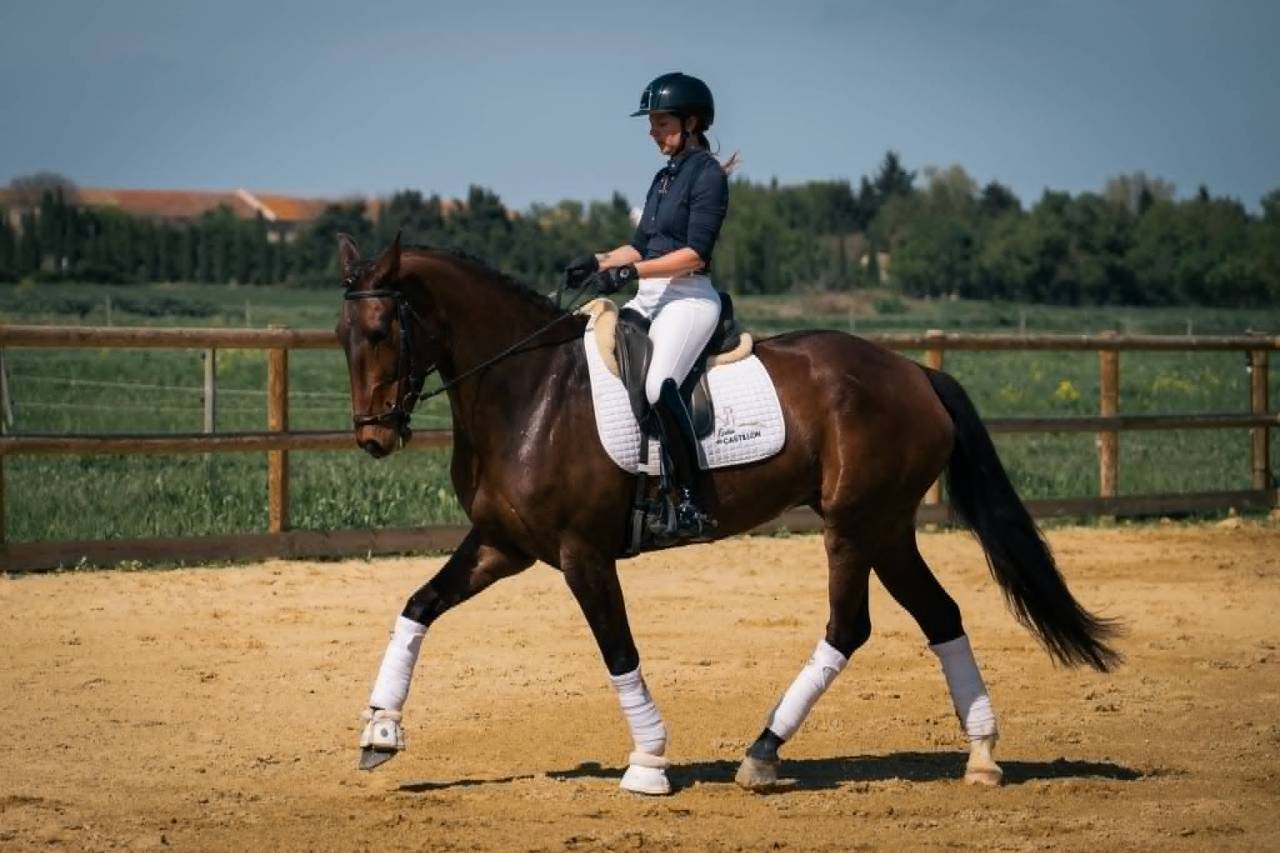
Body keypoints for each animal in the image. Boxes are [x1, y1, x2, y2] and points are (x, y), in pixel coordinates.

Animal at [335, 233, 1119, 795]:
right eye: (343, 335)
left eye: (379, 330)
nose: (374, 437)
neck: (528, 393)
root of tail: (915, 373)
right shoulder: (503, 544)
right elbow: (418, 606)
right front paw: (379, 732)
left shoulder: (582, 554)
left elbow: (619, 651)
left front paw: (649, 762)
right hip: (889, 527)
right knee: (940, 614)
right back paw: (981, 754)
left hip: (854, 525)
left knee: (849, 626)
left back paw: (764, 752)